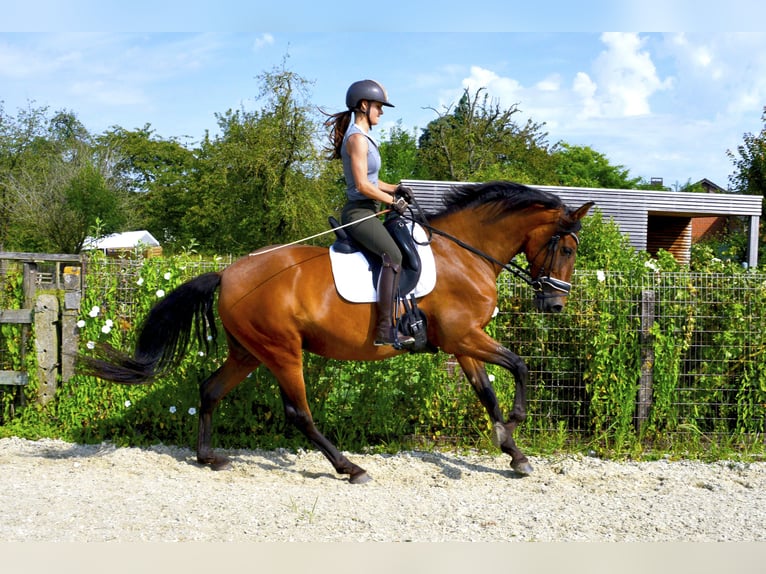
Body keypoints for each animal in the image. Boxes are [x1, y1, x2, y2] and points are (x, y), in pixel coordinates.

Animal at [84, 181, 592, 486]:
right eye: (566, 248)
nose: (555, 305)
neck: (463, 254)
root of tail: (227, 274)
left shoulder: (462, 340)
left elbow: (486, 391)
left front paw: (513, 452)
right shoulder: (464, 337)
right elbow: (519, 366)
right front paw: (515, 424)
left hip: (248, 351)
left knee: (209, 390)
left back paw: (208, 456)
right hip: (282, 351)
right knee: (298, 413)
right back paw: (350, 467)